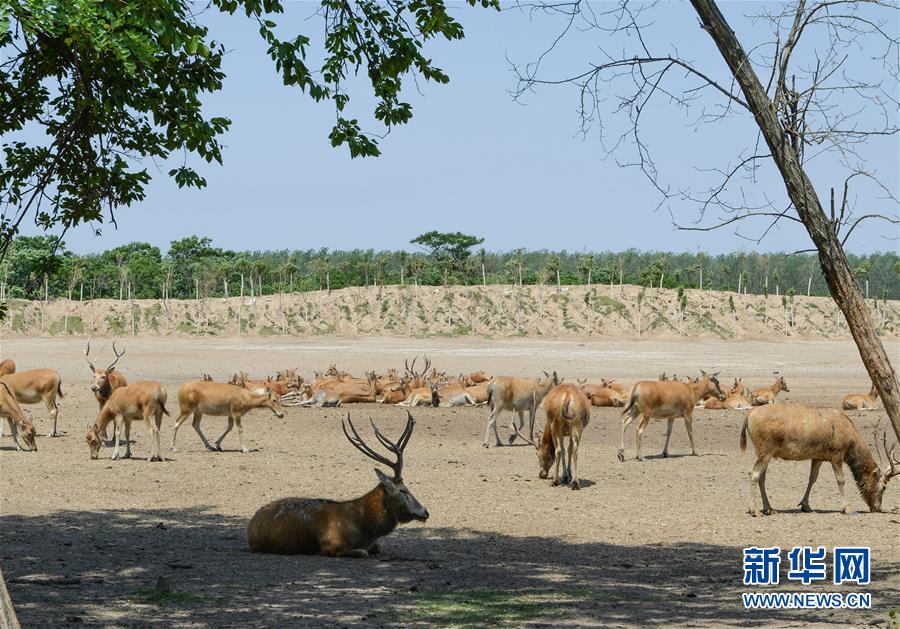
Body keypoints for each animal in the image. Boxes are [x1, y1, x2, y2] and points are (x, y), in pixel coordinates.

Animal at [244, 412, 430, 556]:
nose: (425, 512)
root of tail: (251, 523)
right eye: (403, 490)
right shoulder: (332, 545)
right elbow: (362, 552)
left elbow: (378, 547)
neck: (364, 527)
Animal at [740, 402, 896, 516]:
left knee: (762, 476)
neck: (850, 434)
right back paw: (754, 510)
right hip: (765, 450)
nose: (877, 507)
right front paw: (847, 508)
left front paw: (806, 506)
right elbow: (841, 479)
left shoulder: (818, 457)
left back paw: (769, 508)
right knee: (754, 473)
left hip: (763, 452)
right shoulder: (837, 454)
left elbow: (812, 478)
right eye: (883, 487)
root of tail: (750, 414)